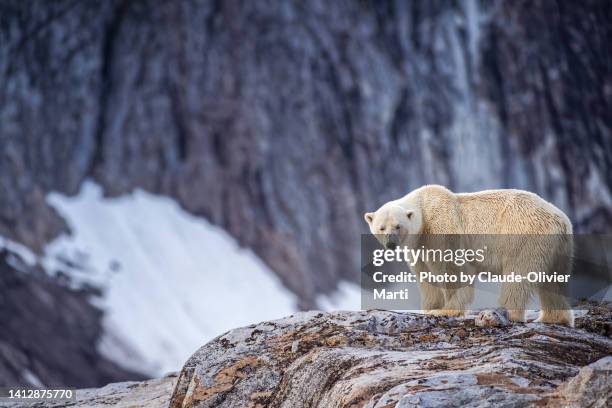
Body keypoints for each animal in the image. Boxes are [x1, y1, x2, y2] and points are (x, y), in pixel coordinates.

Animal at [366, 186, 576, 326]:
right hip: (558, 248)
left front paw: (445, 310)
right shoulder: (417, 247)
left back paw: (503, 313)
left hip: (524, 236)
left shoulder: (442, 228)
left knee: (519, 274)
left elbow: (452, 269)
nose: (391, 244)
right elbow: (425, 275)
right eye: (381, 227)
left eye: (398, 226)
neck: (424, 210)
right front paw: (430, 307)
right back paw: (553, 318)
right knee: (553, 280)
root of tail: (560, 219)